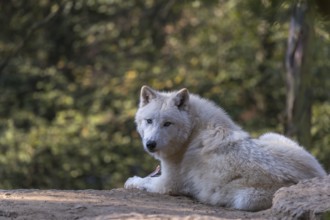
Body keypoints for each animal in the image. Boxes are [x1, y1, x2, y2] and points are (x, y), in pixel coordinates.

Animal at [124, 86, 328, 211]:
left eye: (167, 123)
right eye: (149, 121)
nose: (150, 144)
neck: (192, 133)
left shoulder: (167, 184)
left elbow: (142, 181)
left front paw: (132, 180)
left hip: (245, 200)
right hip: (271, 136)